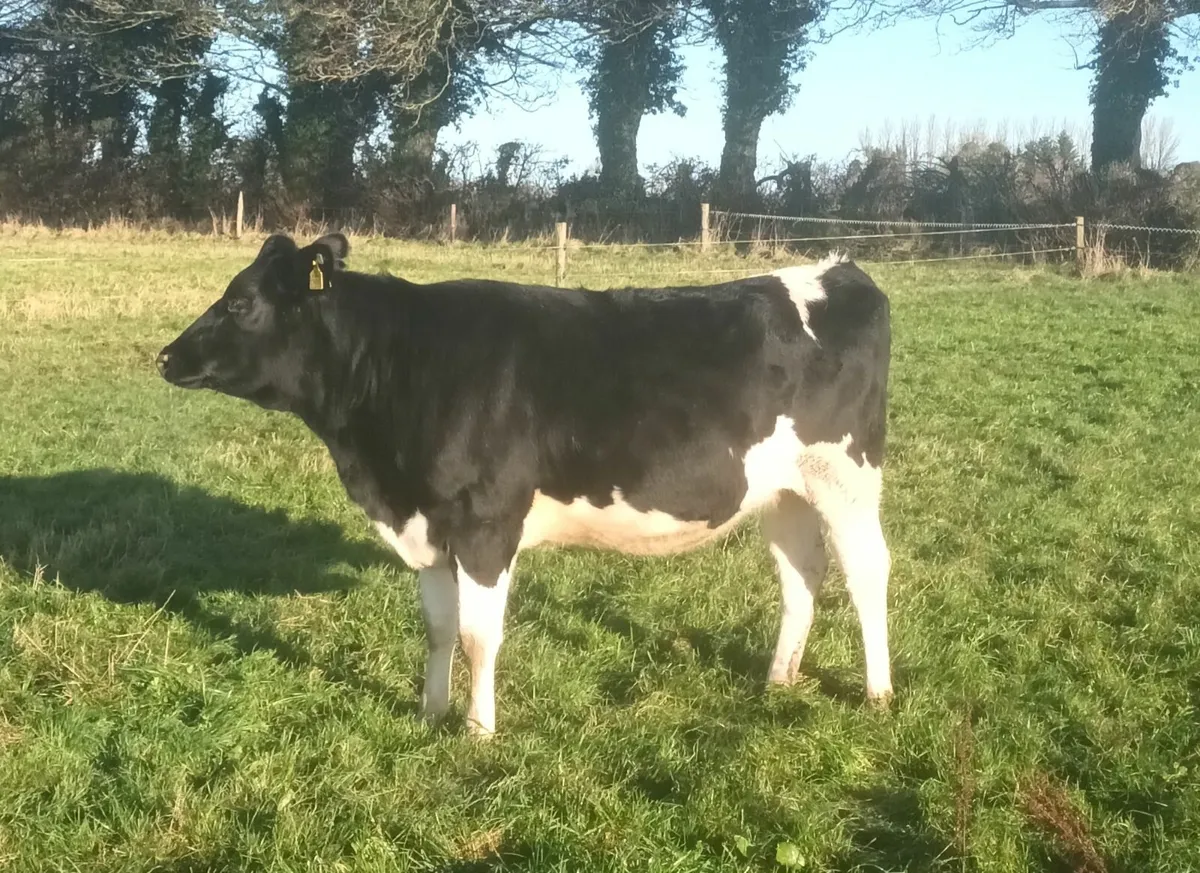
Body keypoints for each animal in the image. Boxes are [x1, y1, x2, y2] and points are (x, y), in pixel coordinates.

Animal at [157, 233, 894, 737]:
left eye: (241, 302)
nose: (165, 356)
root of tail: (836, 269)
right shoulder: (427, 525)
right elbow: (437, 628)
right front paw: (430, 714)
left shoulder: (485, 523)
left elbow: (479, 636)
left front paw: (478, 731)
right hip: (786, 489)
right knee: (801, 572)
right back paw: (780, 679)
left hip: (846, 475)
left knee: (866, 571)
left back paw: (878, 692)